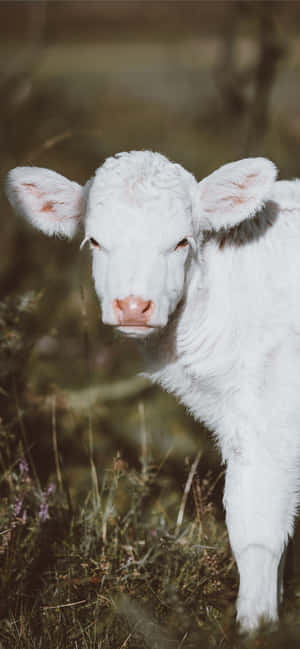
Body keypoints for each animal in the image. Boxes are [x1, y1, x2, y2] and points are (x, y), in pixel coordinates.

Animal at [5, 151, 300, 628]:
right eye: (94, 241)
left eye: (182, 242)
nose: (132, 306)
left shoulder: (268, 420)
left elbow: (255, 529)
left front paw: (255, 628)